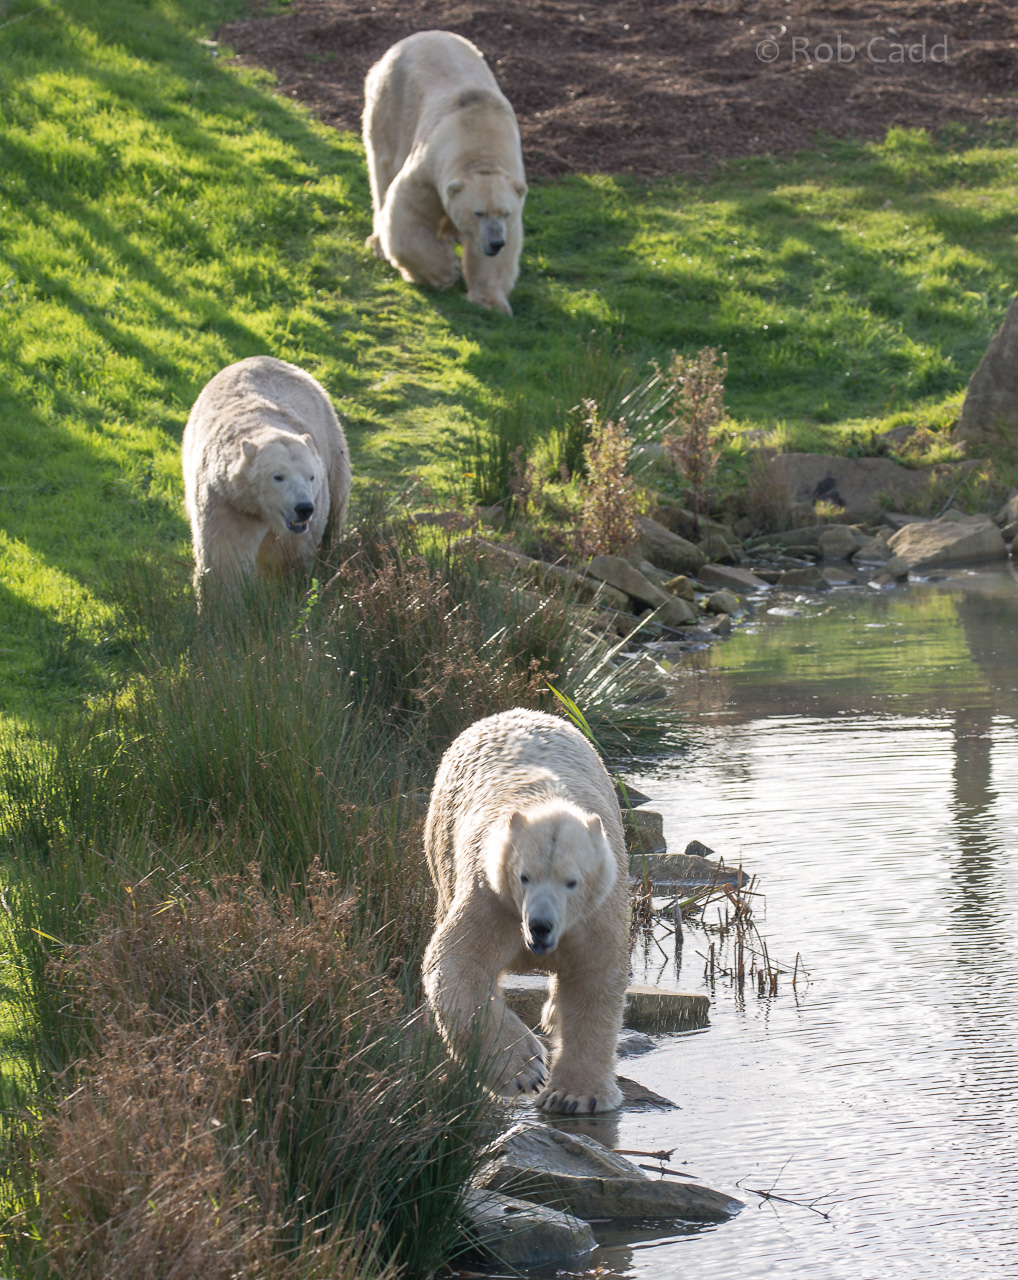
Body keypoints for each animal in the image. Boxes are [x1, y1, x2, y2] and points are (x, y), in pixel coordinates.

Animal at [181, 355, 351, 599]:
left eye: (311, 476)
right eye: (278, 477)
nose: (304, 508)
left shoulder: (311, 512)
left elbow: (292, 559)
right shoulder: (227, 502)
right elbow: (225, 558)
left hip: (333, 448)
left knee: (335, 516)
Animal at [362, 30, 527, 316]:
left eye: (505, 213)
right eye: (478, 212)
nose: (496, 243)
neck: (481, 135)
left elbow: (500, 256)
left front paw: (491, 303)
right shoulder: (430, 166)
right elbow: (408, 209)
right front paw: (443, 272)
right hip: (389, 107)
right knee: (382, 172)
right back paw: (379, 244)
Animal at [423, 708, 629, 1114]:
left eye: (571, 881)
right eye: (524, 877)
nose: (540, 927)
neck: (547, 801)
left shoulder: (594, 913)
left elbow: (595, 976)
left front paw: (575, 1095)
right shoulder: (491, 897)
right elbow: (459, 962)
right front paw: (526, 1071)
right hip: (442, 846)